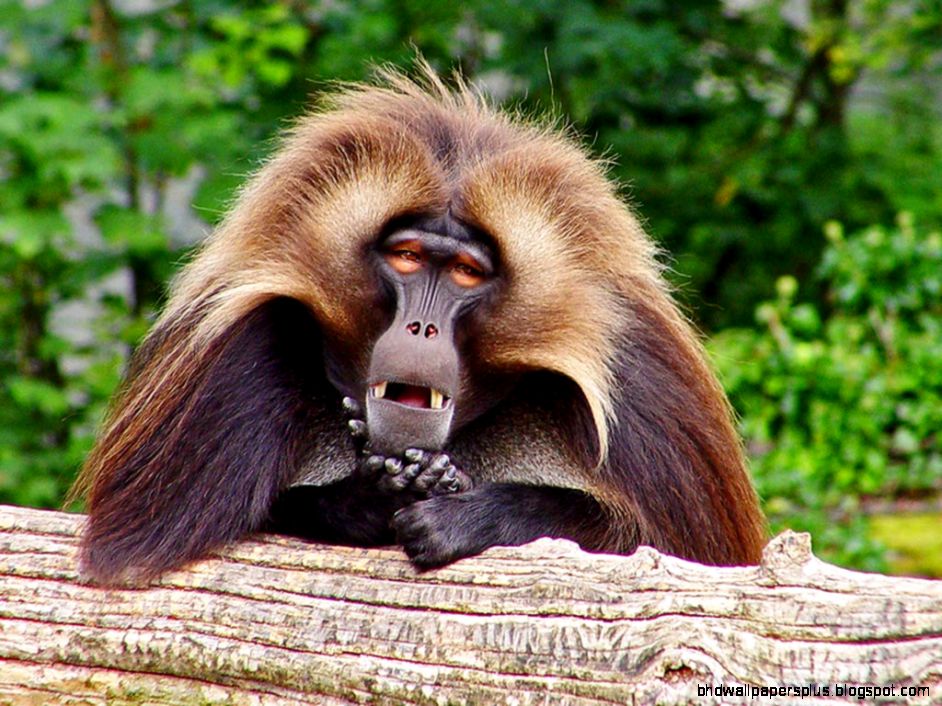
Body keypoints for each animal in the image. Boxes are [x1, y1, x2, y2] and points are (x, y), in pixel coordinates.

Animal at [70, 67, 767, 585]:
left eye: (465, 271)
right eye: (406, 256)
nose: (422, 330)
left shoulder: (646, 388)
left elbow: (678, 561)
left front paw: (469, 516)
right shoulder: (231, 351)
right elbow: (134, 548)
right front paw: (367, 500)